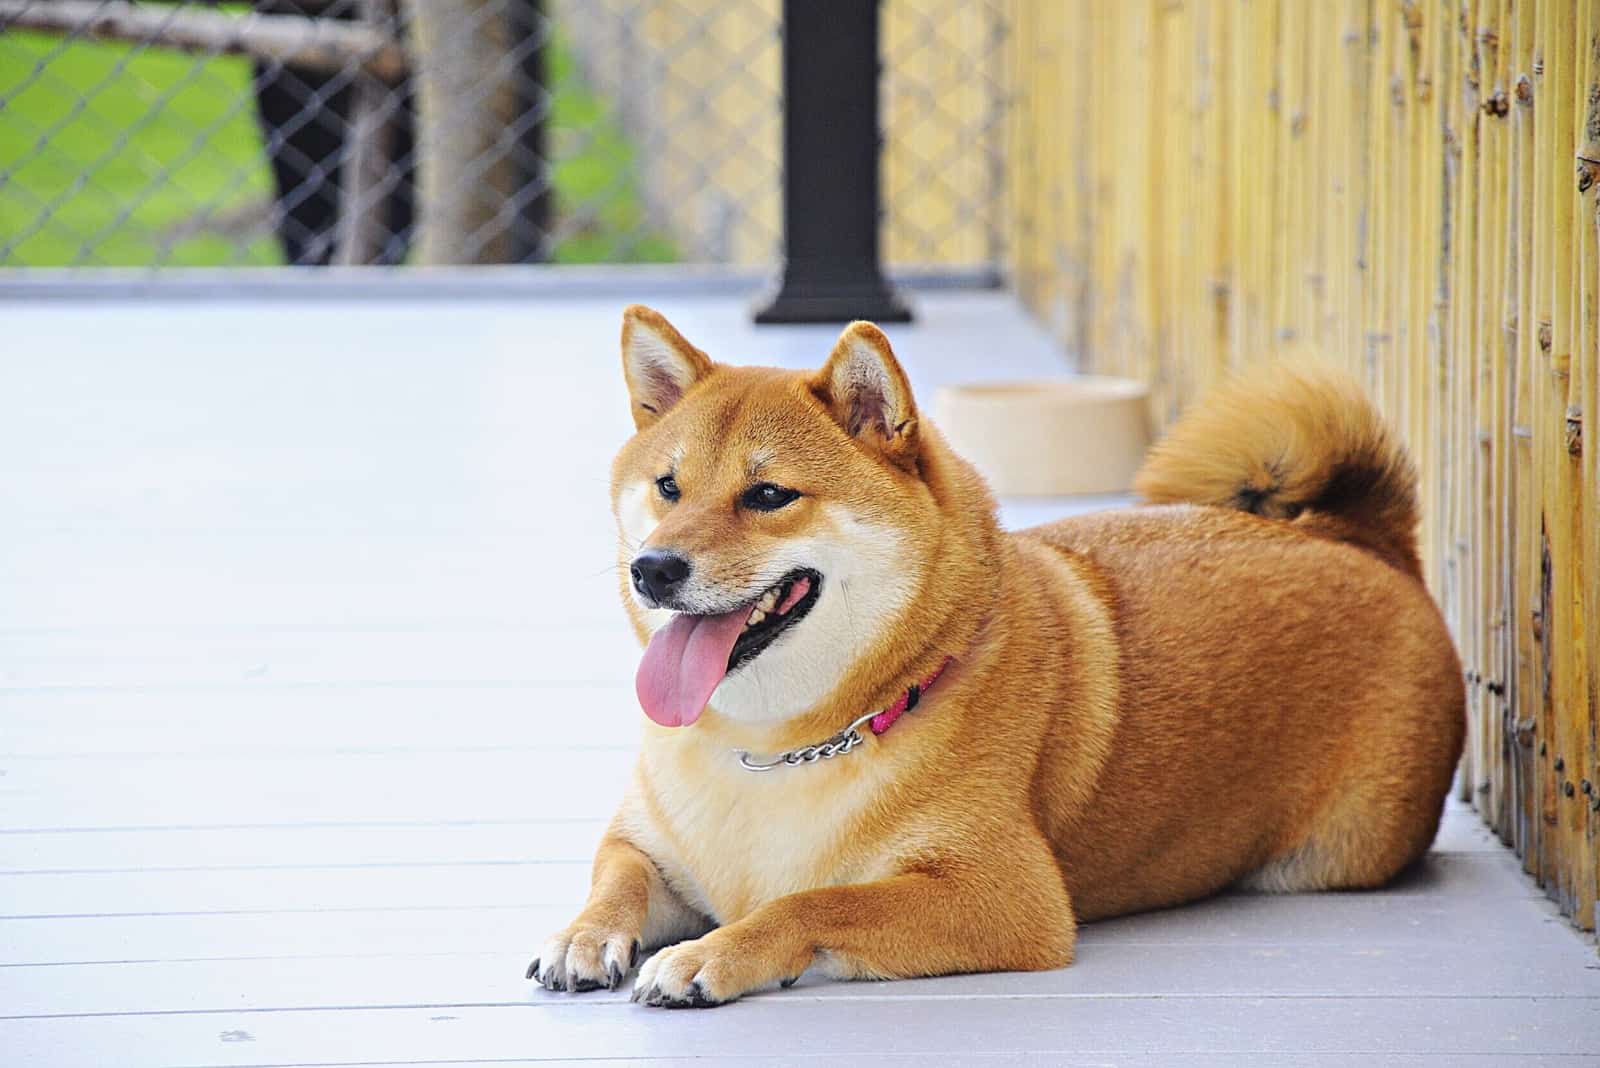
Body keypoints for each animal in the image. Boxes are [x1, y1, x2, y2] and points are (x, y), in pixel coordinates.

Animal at [524, 303, 1465, 1004]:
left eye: (768, 495)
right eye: (668, 487)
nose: (653, 568)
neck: (773, 750)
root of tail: (1361, 541)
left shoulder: (1002, 897)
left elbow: (813, 900)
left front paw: (709, 953)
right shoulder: (647, 842)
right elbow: (615, 877)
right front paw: (582, 935)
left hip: (1342, 852)